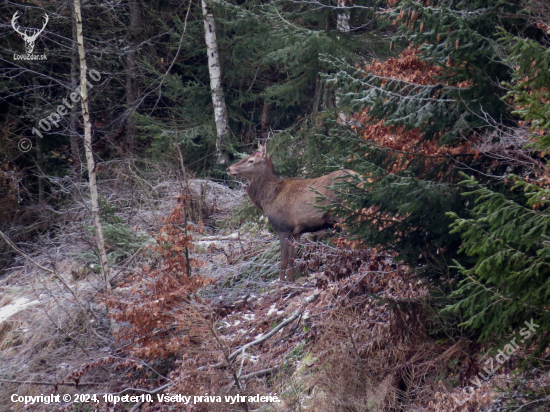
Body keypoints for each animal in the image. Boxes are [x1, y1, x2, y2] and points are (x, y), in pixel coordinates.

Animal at [226, 143, 356, 282]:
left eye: (251, 160)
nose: (229, 169)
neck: (268, 198)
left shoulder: (283, 228)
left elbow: (283, 260)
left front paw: (282, 282)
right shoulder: (297, 232)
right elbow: (292, 258)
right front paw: (291, 280)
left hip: (344, 214)